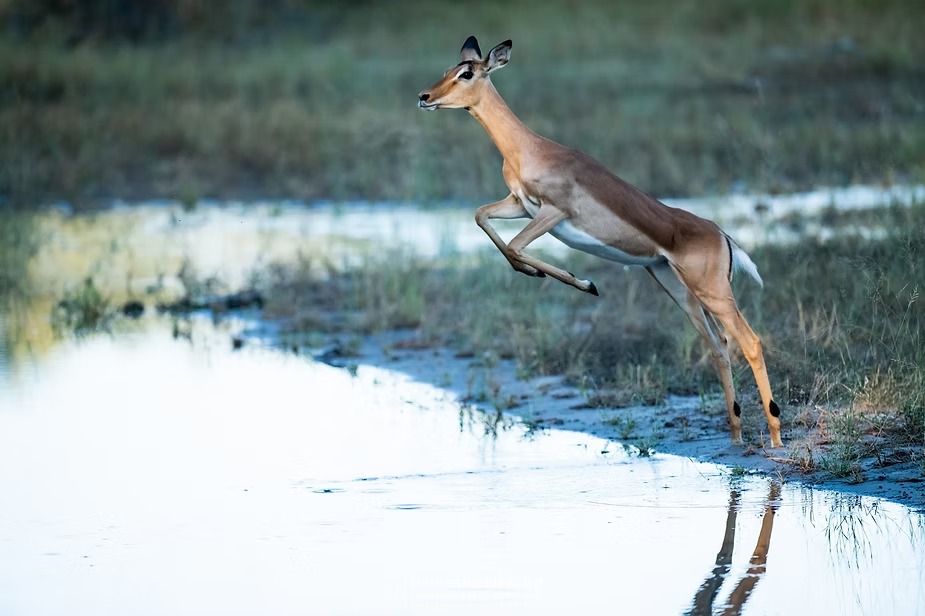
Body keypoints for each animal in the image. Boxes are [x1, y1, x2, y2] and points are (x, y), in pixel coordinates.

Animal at [418, 36, 782, 448]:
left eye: (466, 73)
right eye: (448, 70)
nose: (425, 96)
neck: (528, 149)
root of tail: (721, 234)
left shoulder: (553, 213)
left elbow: (514, 245)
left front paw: (585, 283)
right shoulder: (519, 206)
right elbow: (483, 218)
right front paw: (554, 278)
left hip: (711, 290)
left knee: (750, 341)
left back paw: (775, 438)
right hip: (677, 287)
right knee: (719, 345)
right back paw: (736, 437)